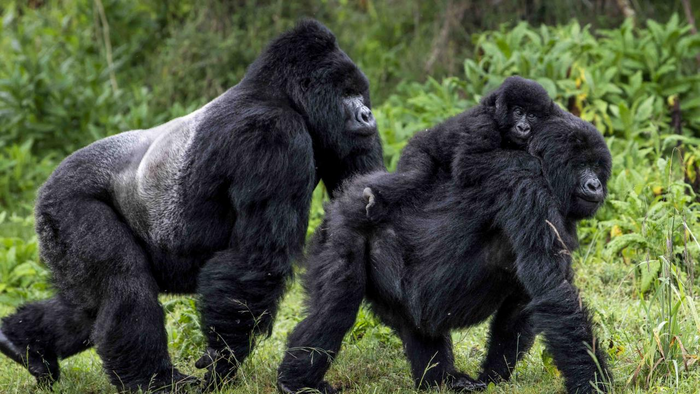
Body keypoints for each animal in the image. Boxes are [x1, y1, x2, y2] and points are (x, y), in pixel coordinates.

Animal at [0, 19, 382, 394]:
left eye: (360, 92)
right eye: (345, 93)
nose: (367, 115)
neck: (283, 95)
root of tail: (47, 184)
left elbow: (354, 227)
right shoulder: (272, 136)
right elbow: (256, 259)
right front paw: (224, 355)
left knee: (85, 307)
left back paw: (24, 345)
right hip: (65, 202)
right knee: (123, 285)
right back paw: (152, 381)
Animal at [278, 112, 612, 392]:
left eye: (598, 167)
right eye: (582, 165)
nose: (595, 185)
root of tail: (342, 198)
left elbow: (524, 305)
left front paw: (491, 377)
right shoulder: (530, 191)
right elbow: (553, 290)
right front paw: (593, 382)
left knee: (418, 325)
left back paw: (439, 380)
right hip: (343, 228)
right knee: (336, 306)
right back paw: (295, 382)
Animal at [364, 75, 560, 220]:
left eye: (532, 115)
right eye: (518, 112)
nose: (524, 128)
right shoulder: (483, 124)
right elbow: (467, 162)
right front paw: (533, 162)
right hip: (415, 148)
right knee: (415, 175)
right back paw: (376, 197)